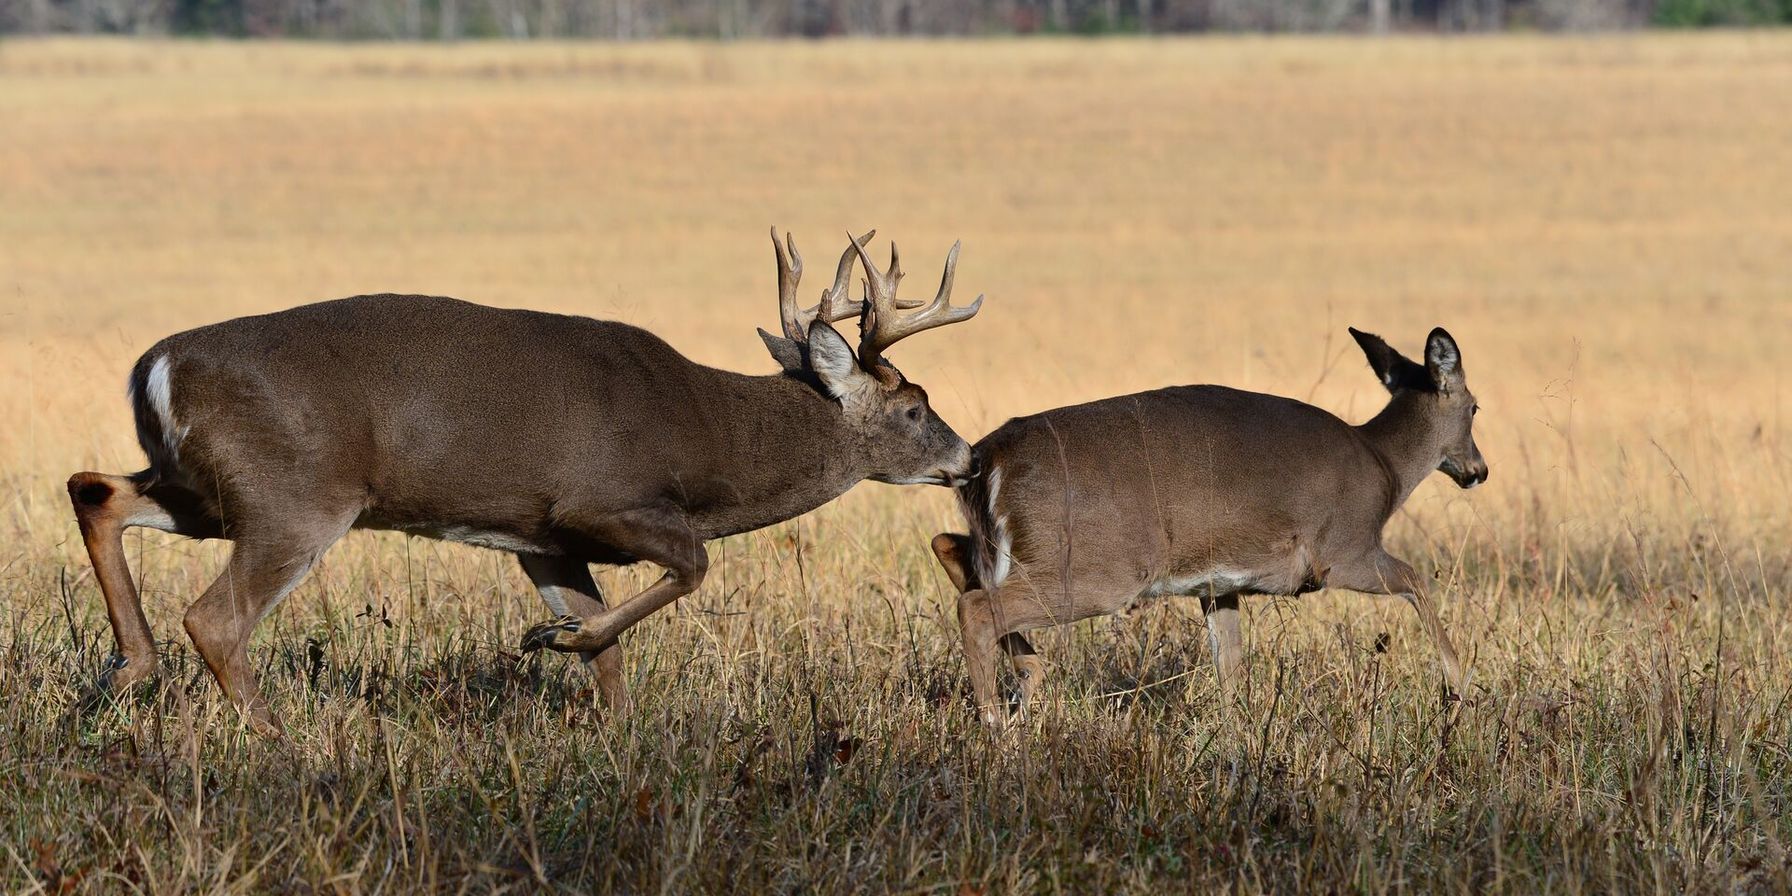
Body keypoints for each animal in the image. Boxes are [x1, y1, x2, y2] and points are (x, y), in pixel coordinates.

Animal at [67, 228, 984, 736]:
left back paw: (125, 671)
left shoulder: (542, 535)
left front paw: (611, 722)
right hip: (295, 496)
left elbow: (609, 648)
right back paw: (274, 738)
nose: (968, 458)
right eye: (913, 407)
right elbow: (693, 568)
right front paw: (552, 640)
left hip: (207, 491)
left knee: (96, 489)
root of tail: (156, 366)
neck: (710, 447)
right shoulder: (604, 498)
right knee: (214, 616)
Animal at [931, 327, 1484, 726]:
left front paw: (1235, 738)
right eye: (1476, 407)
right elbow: (1417, 580)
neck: (1384, 467)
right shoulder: (1343, 550)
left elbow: (1230, 668)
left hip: (1012, 549)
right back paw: (996, 724)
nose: (1478, 470)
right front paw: (1456, 691)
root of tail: (989, 458)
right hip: (1097, 568)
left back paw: (1025, 687)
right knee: (977, 608)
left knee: (951, 551)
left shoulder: (1219, 585)